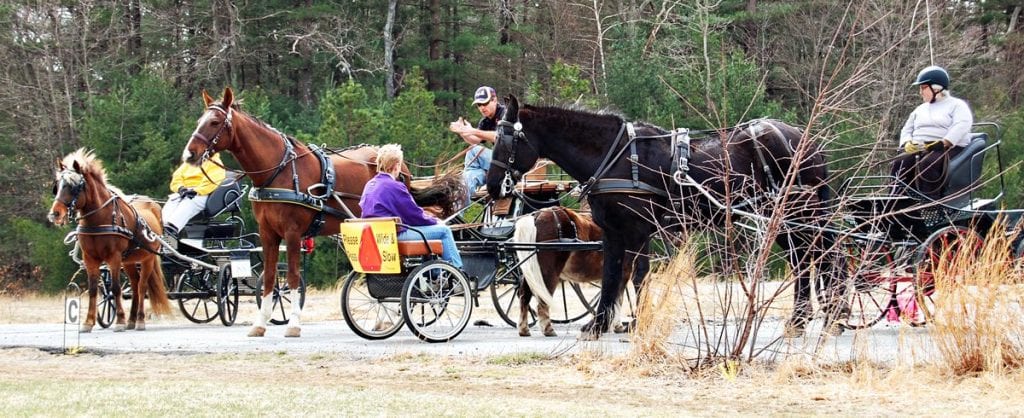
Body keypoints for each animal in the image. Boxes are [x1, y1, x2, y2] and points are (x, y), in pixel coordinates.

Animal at [48, 148, 171, 331]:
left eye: (74, 186)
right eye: (57, 186)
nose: (55, 214)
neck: (100, 219)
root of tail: (154, 205)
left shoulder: (114, 257)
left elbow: (115, 288)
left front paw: (119, 320)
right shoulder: (90, 258)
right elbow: (93, 289)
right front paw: (88, 322)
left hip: (148, 258)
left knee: (142, 286)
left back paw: (139, 320)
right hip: (129, 261)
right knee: (135, 284)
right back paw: (131, 320)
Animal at [182, 88, 462, 340]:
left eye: (215, 122)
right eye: (199, 121)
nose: (189, 154)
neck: (279, 172)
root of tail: (400, 165)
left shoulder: (293, 234)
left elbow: (293, 277)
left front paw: (293, 324)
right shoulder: (268, 234)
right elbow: (270, 278)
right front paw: (260, 324)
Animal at [483, 96, 843, 342]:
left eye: (506, 139)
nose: (492, 185)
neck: (616, 157)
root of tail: (805, 140)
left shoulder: (638, 230)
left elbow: (638, 277)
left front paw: (636, 322)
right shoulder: (613, 232)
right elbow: (612, 276)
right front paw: (598, 325)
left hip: (798, 213)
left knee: (820, 258)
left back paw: (828, 318)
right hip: (781, 218)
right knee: (804, 261)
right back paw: (802, 321)